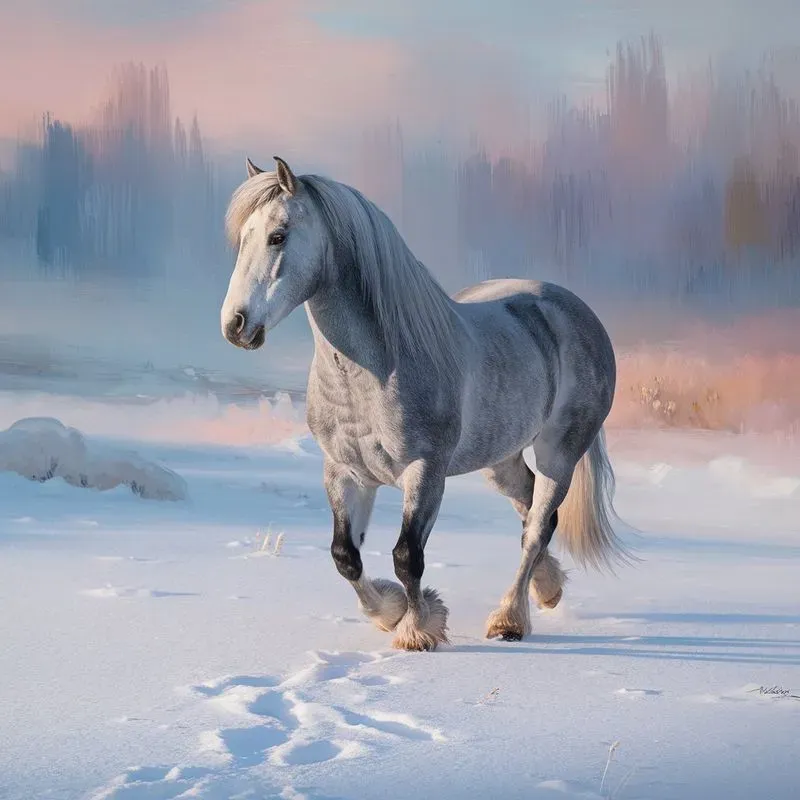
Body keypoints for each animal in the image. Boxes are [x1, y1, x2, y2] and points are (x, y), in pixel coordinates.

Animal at [220, 156, 630, 651]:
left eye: (278, 235)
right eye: (243, 238)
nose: (235, 325)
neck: (375, 371)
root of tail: (573, 309)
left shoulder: (425, 471)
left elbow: (406, 555)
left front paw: (418, 629)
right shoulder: (344, 472)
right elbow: (345, 556)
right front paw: (389, 612)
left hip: (559, 453)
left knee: (535, 528)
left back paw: (509, 619)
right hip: (500, 458)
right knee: (534, 512)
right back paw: (546, 590)